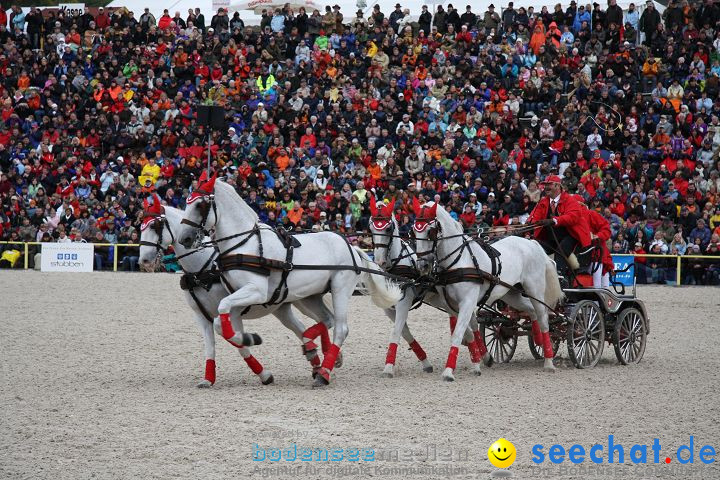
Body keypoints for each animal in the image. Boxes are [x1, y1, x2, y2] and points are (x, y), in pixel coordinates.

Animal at [141, 195, 340, 386]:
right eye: (140, 225)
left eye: (154, 226)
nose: (143, 260)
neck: (203, 270)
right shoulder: (201, 317)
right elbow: (210, 347)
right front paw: (208, 379)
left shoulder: (234, 312)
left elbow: (237, 342)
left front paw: (261, 367)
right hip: (283, 308)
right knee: (304, 326)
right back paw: (319, 358)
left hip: (302, 300)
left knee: (324, 320)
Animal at [174, 175, 400, 386]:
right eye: (187, 201)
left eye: (200, 204)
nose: (184, 238)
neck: (245, 244)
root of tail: (350, 246)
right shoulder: (238, 296)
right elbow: (221, 324)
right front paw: (248, 338)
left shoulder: (256, 291)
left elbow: (222, 314)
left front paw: (251, 338)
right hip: (310, 296)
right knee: (327, 319)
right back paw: (314, 349)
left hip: (340, 289)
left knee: (341, 328)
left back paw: (323, 372)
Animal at [368, 197, 492, 376]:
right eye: (371, 227)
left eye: (388, 228)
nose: (379, 261)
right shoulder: (388, 308)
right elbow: (405, 332)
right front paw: (425, 362)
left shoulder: (404, 301)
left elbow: (396, 332)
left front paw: (388, 367)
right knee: (472, 322)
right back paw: (481, 354)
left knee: (471, 323)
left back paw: (482, 355)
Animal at [410, 200, 564, 378]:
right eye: (413, 231)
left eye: (430, 232)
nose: (422, 264)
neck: (459, 261)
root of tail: (531, 243)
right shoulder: (451, 305)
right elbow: (469, 332)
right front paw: (480, 362)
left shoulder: (467, 302)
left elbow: (458, 334)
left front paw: (449, 371)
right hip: (511, 293)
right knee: (531, 311)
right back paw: (538, 341)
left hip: (534, 289)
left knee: (543, 317)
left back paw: (548, 360)